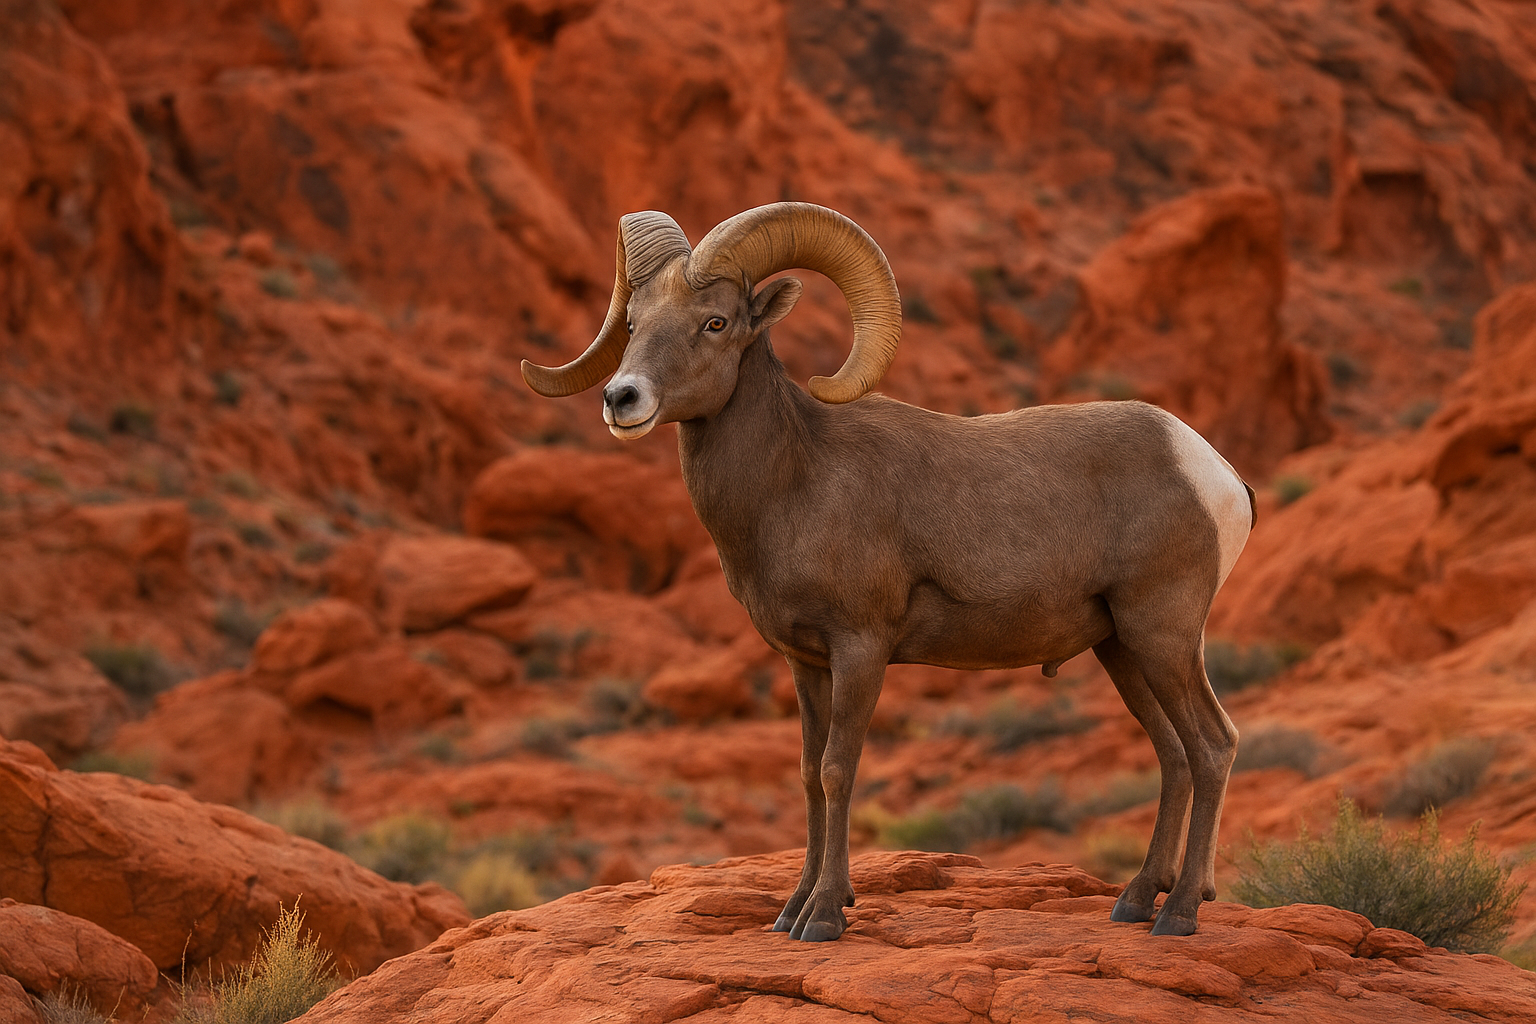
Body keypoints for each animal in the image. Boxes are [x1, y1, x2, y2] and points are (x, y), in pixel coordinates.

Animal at [522, 202, 1256, 942]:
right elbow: (809, 774)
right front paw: (791, 910)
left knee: (1212, 746)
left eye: (716, 322)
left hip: (1162, 635)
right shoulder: (806, 663)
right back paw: (1135, 900)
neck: (797, 482)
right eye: (634, 324)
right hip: (1122, 649)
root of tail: (1216, 473)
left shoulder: (861, 649)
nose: (622, 399)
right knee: (1173, 753)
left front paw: (823, 916)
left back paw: (1180, 912)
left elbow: (839, 769)